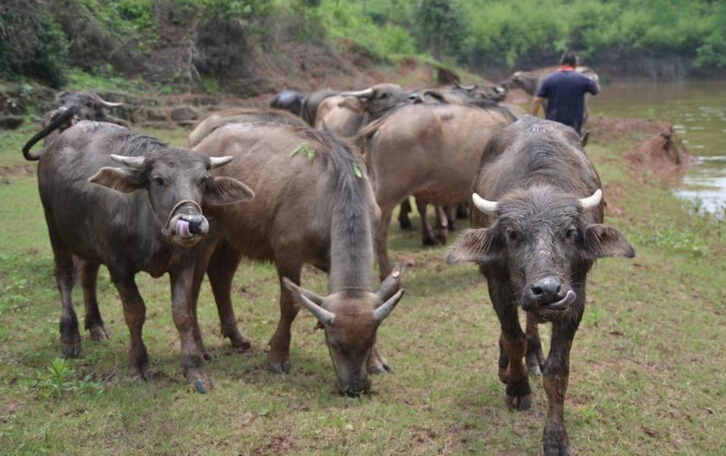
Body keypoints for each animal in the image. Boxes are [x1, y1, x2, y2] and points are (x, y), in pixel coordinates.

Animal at [28, 120, 255, 392]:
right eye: (158, 180)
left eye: (202, 180)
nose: (193, 223)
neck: (153, 232)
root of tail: (52, 147)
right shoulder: (119, 268)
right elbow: (135, 312)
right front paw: (139, 364)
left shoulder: (184, 264)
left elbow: (182, 313)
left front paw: (194, 368)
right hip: (55, 228)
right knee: (64, 277)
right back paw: (69, 338)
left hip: (88, 243)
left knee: (88, 275)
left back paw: (96, 326)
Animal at [193, 122, 406, 396]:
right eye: (334, 344)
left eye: (371, 342)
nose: (354, 388)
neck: (335, 188)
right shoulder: (288, 252)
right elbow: (290, 304)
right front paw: (278, 356)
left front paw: (377, 362)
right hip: (205, 236)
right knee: (193, 287)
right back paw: (199, 348)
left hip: (233, 237)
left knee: (221, 278)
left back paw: (236, 336)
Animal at [446, 116, 636, 456]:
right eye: (511, 234)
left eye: (571, 232)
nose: (547, 289)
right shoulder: (497, 286)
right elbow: (513, 339)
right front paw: (518, 387)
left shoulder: (574, 298)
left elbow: (558, 370)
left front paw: (555, 437)